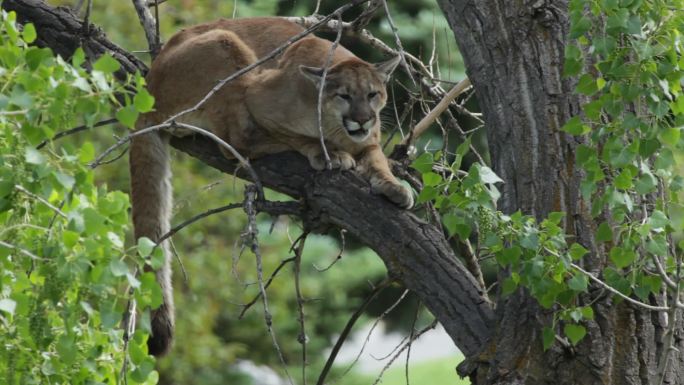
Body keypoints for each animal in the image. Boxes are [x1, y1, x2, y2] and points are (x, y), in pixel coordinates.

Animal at [131, 17, 414, 354]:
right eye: (344, 96)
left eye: (373, 94)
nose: (362, 120)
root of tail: (149, 85)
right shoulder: (258, 94)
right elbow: (292, 136)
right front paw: (328, 152)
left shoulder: (370, 140)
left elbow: (378, 159)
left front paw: (395, 188)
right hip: (226, 47)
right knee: (236, 143)